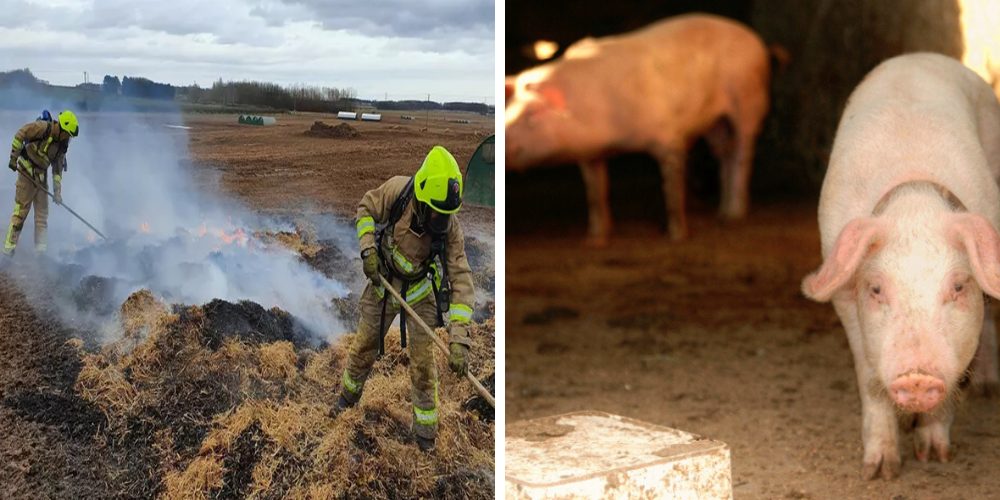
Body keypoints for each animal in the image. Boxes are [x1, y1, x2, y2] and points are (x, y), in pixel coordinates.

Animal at [508, 15, 772, 248]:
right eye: (507, 108)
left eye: (531, 113)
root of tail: (755, 39)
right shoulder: (590, 154)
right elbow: (596, 194)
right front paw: (594, 242)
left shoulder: (668, 137)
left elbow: (672, 188)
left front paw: (677, 237)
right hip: (715, 122)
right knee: (724, 154)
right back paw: (722, 214)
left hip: (748, 98)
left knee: (742, 152)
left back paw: (734, 216)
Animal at [800, 52, 1000, 478]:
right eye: (876, 288)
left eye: (959, 286)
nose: (918, 377)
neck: (914, 203)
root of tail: (919, 55)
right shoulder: (845, 299)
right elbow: (870, 379)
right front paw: (880, 472)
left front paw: (935, 455)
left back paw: (988, 389)